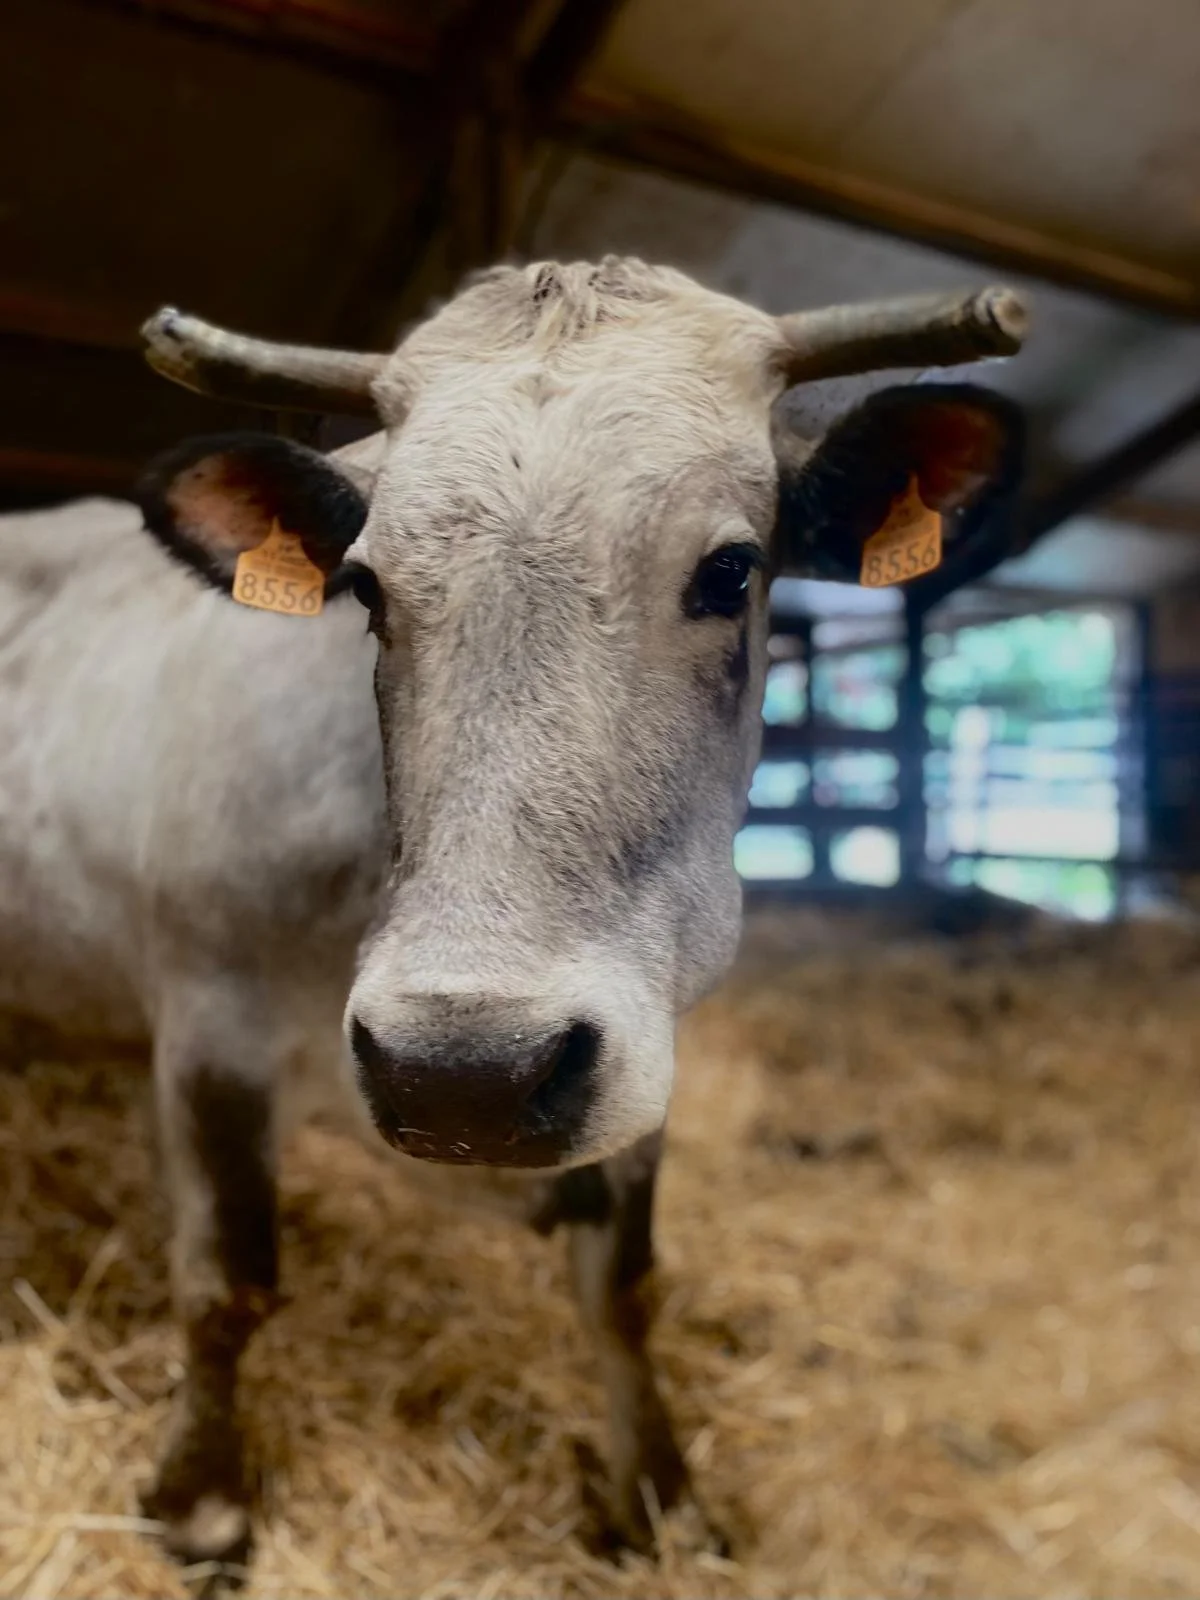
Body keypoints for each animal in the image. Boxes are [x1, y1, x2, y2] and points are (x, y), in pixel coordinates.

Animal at [0, 257, 1025, 1576]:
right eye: (368, 586)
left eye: (732, 569)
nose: (462, 1075)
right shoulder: (210, 1026)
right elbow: (227, 1280)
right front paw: (203, 1501)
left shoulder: (630, 1038)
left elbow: (623, 1288)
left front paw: (660, 1491)